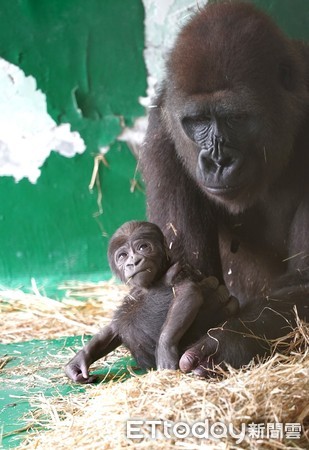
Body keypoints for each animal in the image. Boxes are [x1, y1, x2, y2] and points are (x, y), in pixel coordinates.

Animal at [64, 220, 238, 382]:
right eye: (122, 256)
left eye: (143, 247)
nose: (133, 262)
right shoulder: (134, 290)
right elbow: (114, 327)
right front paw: (79, 360)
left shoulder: (178, 269)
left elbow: (187, 293)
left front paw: (165, 350)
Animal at [140, 0, 308, 376]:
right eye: (198, 121)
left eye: (235, 118)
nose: (217, 161)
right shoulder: (162, 130)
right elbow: (184, 277)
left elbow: (303, 279)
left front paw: (229, 341)